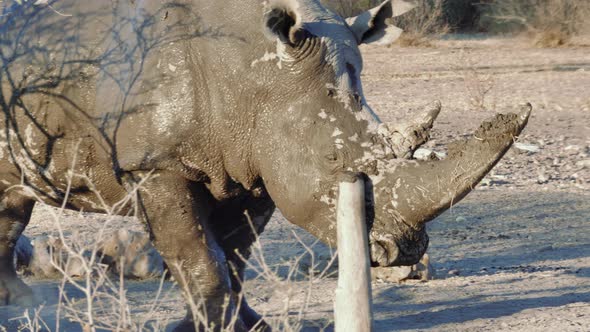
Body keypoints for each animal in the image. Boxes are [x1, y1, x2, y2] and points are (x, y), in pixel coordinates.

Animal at [0, 0, 536, 330]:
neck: (253, 79)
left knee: (12, 202)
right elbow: (202, 259)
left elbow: (234, 258)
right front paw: (208, 325)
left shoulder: (252, 169)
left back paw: (19, 303)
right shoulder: (156, 167)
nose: (404, 250)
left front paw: (243, 324)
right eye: (333, 158)